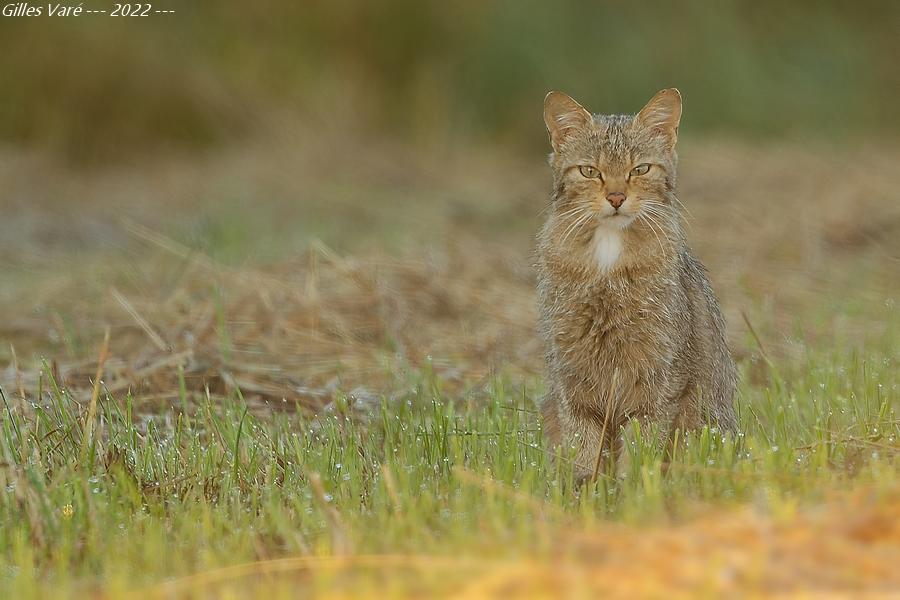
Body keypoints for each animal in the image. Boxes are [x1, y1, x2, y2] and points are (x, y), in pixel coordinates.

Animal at [536, 89, 740, 480]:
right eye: (590, 171)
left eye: (640, 169)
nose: (616, 197)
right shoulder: (573, 378)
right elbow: (584, 450)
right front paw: (584, 491)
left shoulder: (658, 378)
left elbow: (641, 449)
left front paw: (634, 490)